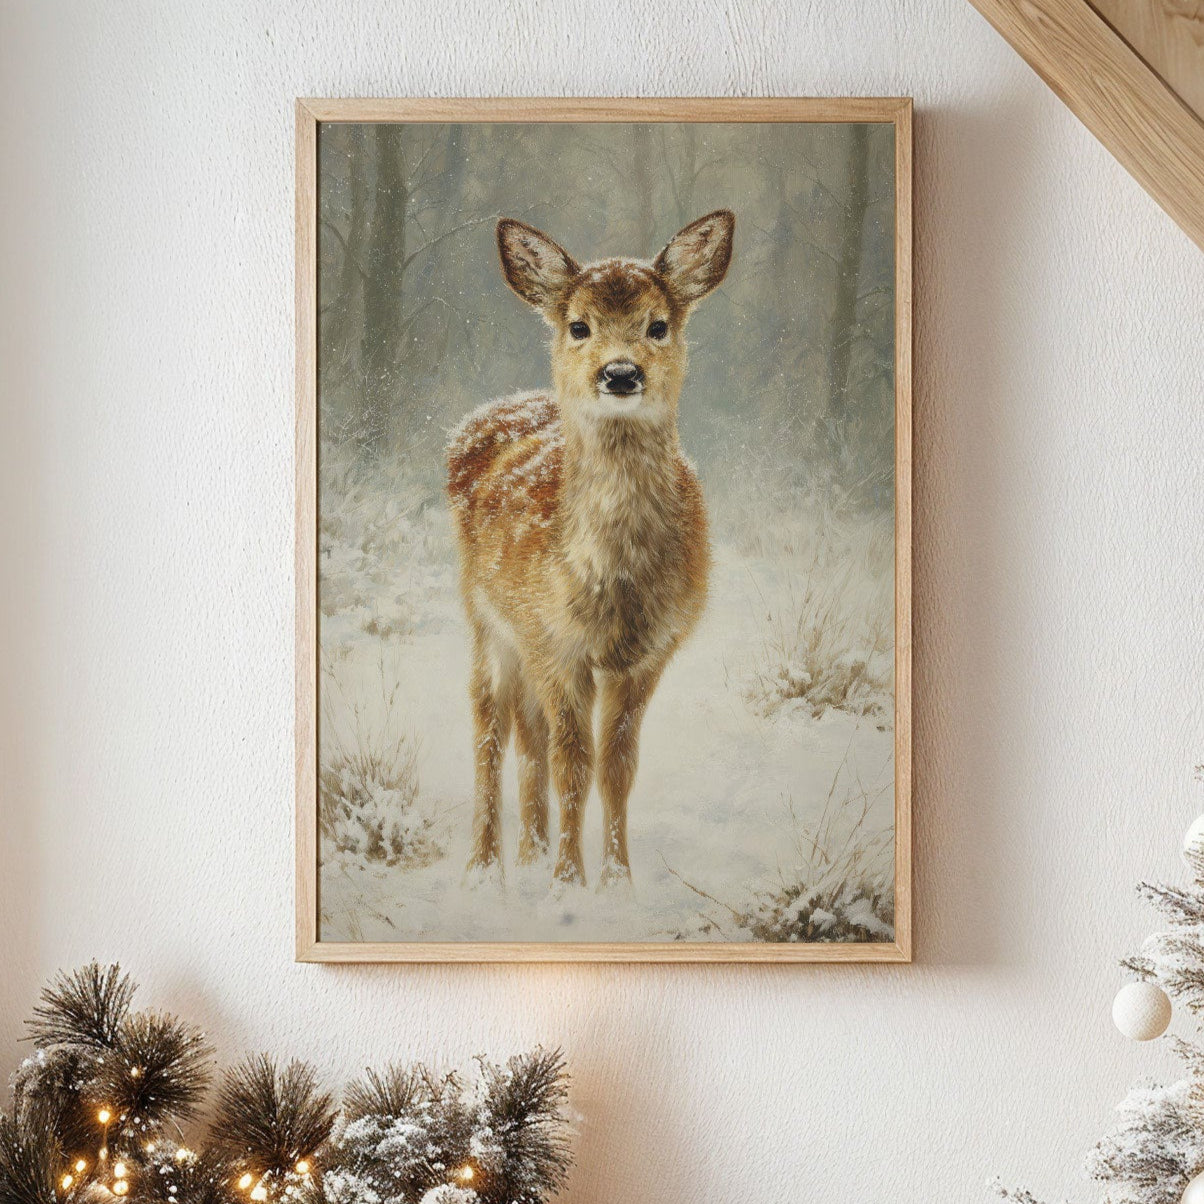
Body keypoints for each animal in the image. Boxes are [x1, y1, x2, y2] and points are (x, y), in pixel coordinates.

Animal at [446, 208, 735, 889]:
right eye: (579, 325)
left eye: (658, 325)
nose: (621, 373)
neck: (611, 582)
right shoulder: (556, 643)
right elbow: (572, 764)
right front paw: (566, 883)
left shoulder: (648, 653)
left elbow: (616, 767)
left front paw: (616, 881)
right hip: (487, 620)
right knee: (490, 729)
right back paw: (486, 867)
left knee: (528, 736)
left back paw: (527, 853)